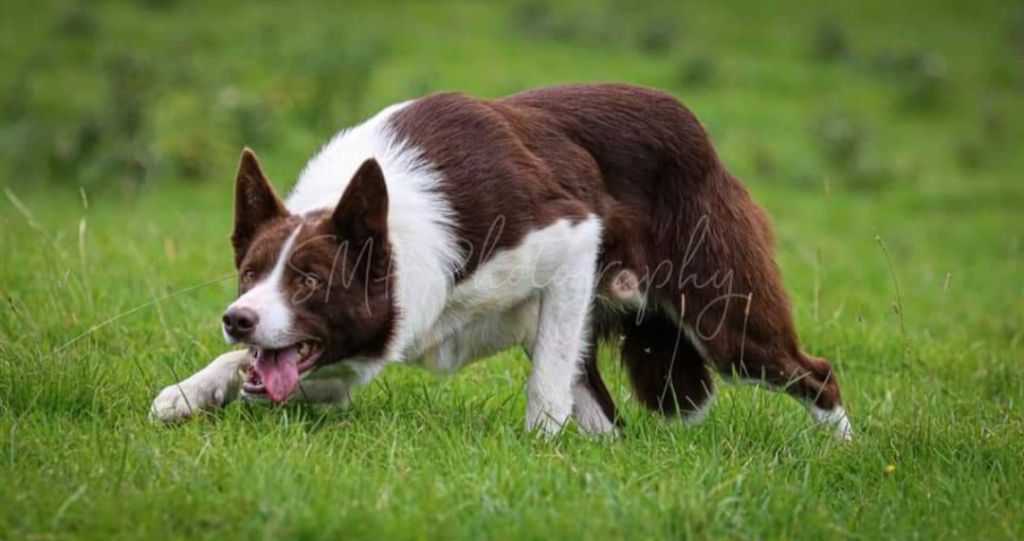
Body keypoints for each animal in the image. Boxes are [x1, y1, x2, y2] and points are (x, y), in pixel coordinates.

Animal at [149, 84, 856, 438]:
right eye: (250, 274)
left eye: (310, 280)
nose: (236, 318)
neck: (400, 232)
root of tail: (695, 127)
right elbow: (263, 369)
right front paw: (190, 392)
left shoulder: (572, 234)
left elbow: (544, 388)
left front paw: (540, 449)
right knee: (605, 414)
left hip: (720, 316)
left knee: (813, 373)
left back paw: (839, 453)